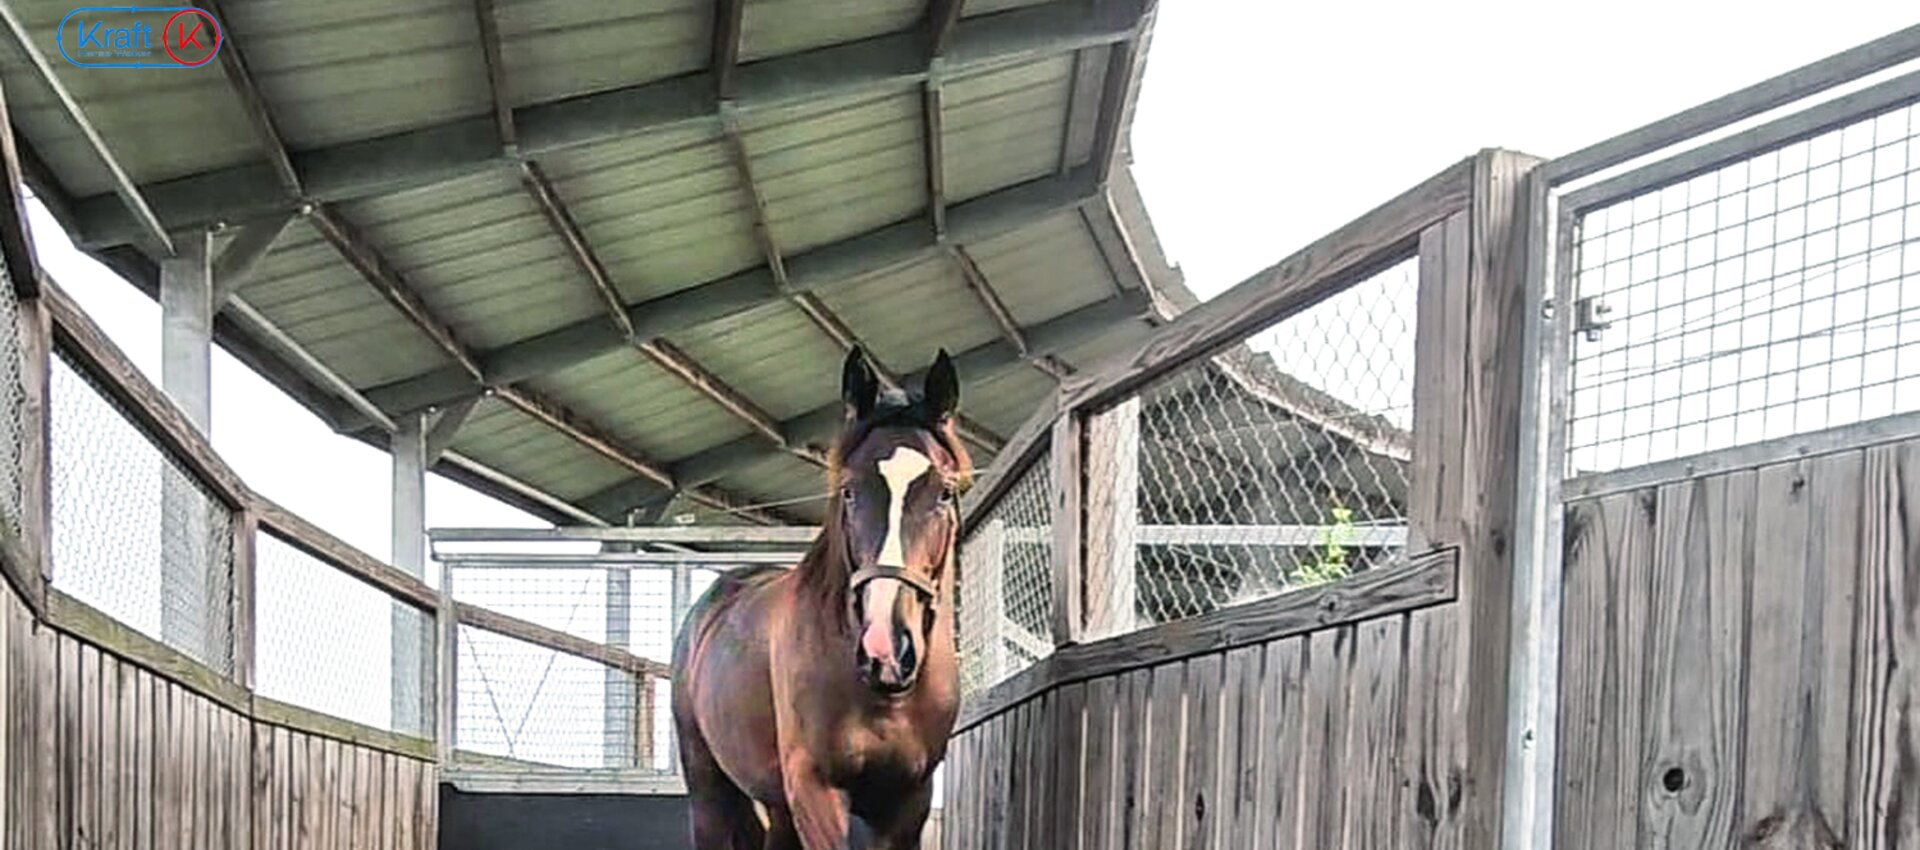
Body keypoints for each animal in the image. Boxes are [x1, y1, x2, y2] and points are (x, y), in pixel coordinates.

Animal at [671, 346, 971, 850]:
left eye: (944, 493)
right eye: (848, 490)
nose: (885, 651)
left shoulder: (909, 800)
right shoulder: (816, 789)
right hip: (710, 789)